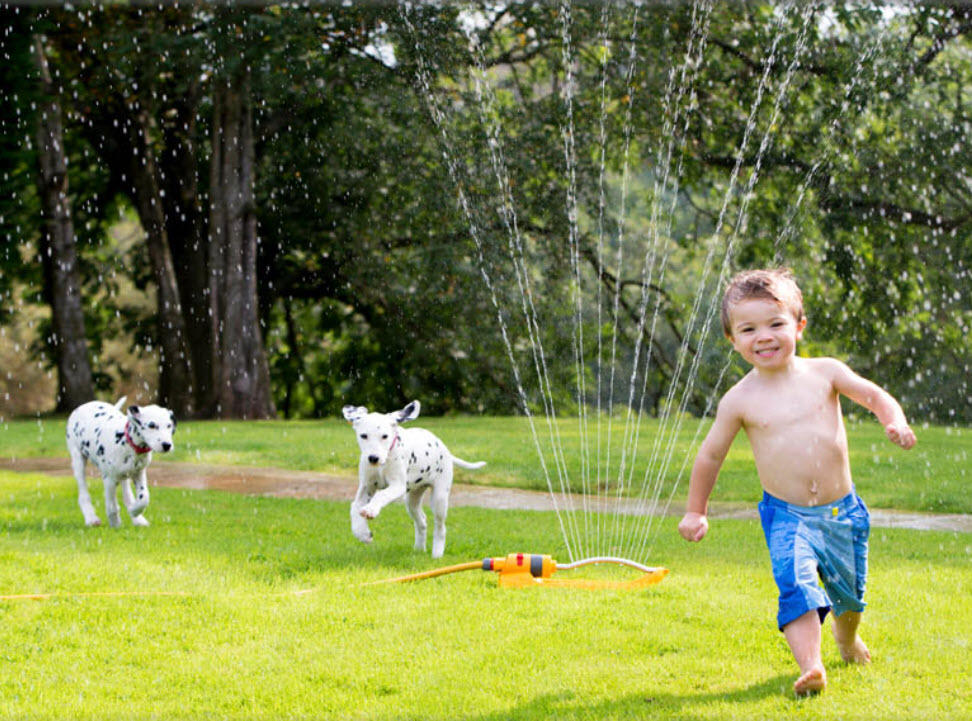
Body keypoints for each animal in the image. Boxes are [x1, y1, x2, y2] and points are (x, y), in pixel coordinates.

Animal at [65, 396, 176, 524]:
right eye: (152, 425)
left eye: (169, 426)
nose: (167, 445)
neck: (127, 442)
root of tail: (84, 405)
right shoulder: (109, 479)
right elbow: (112, 506)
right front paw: (115, 523)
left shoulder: (139, 473)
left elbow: (144, 497)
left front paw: (134, 511)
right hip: (78, 461)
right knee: (83, 494)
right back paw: (91, 518)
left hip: (125, 473)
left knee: (127, 493)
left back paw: (137, 518)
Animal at [346, 400, 490, 556]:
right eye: (363, 436)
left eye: (384, 436)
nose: (373, 458)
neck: (384, 462)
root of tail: (446, 451)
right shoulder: (367, 486)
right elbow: (355, 506)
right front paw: (362, 533)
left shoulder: (398, 486)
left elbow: (381, 495)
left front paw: (371, 510)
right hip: (412, 501)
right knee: (422, 521)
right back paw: (419, 549)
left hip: (439, 499)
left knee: (440, 527)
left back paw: (437, 554)